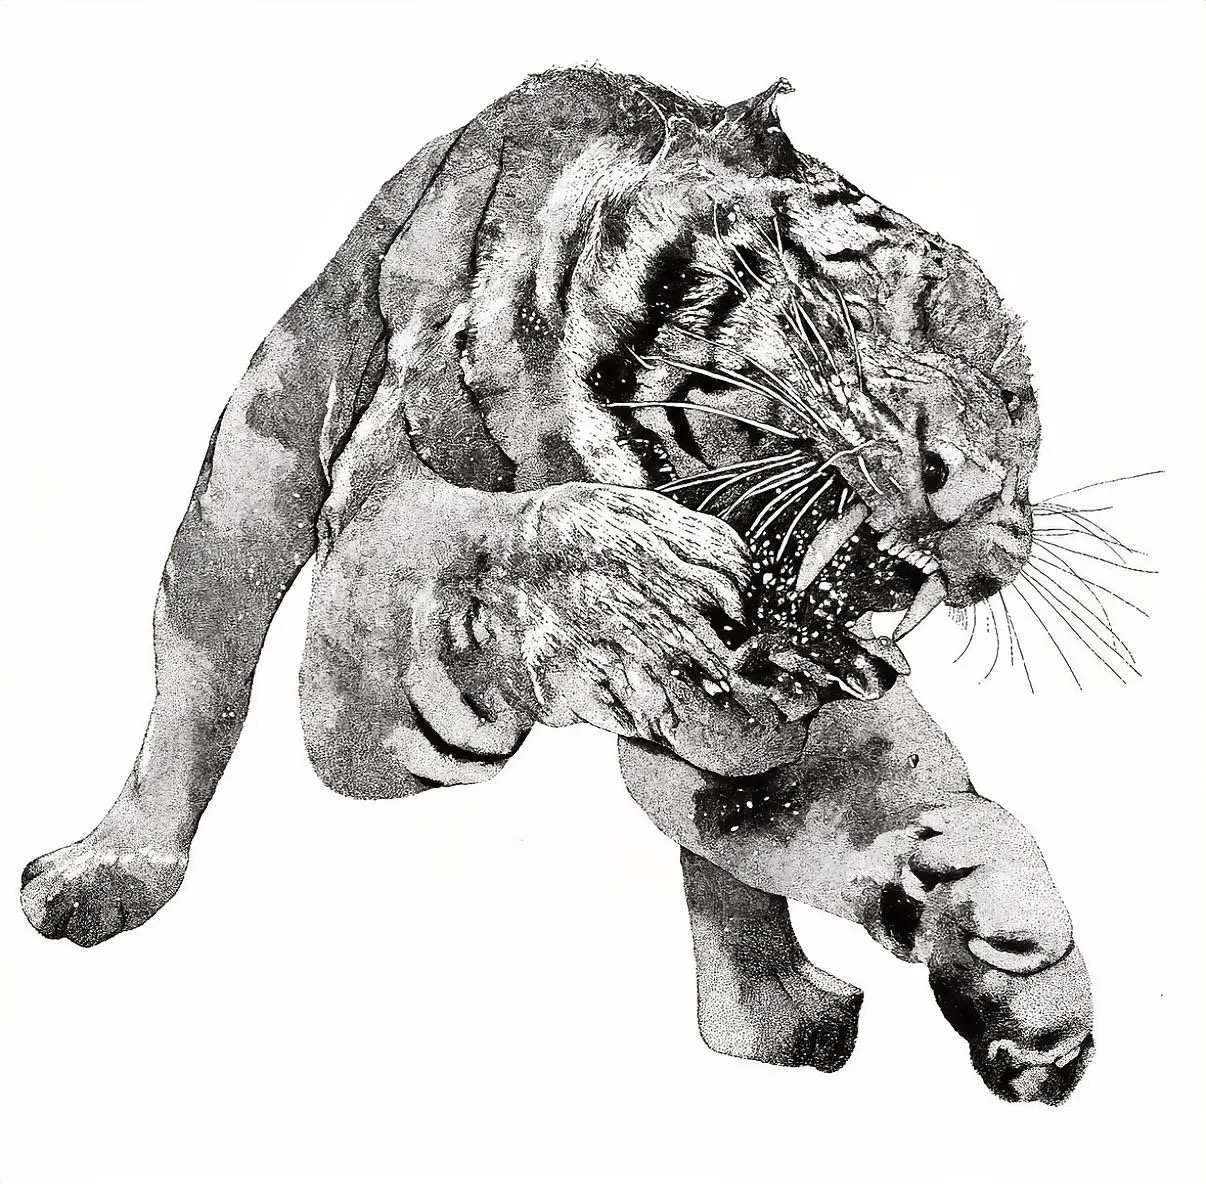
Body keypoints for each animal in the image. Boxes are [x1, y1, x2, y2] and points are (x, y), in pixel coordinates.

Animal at [20, 66, 1092, 1104]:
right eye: (885, 308)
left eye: (1019, 407)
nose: (980, 492)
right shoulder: (364, 622)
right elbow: (482, 548)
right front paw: (638, 575)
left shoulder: (760, 725)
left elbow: (841, 800)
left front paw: (1014, 947)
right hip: (250, 473)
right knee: (199, 665)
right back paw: (107, 870)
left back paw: (774, 1015)